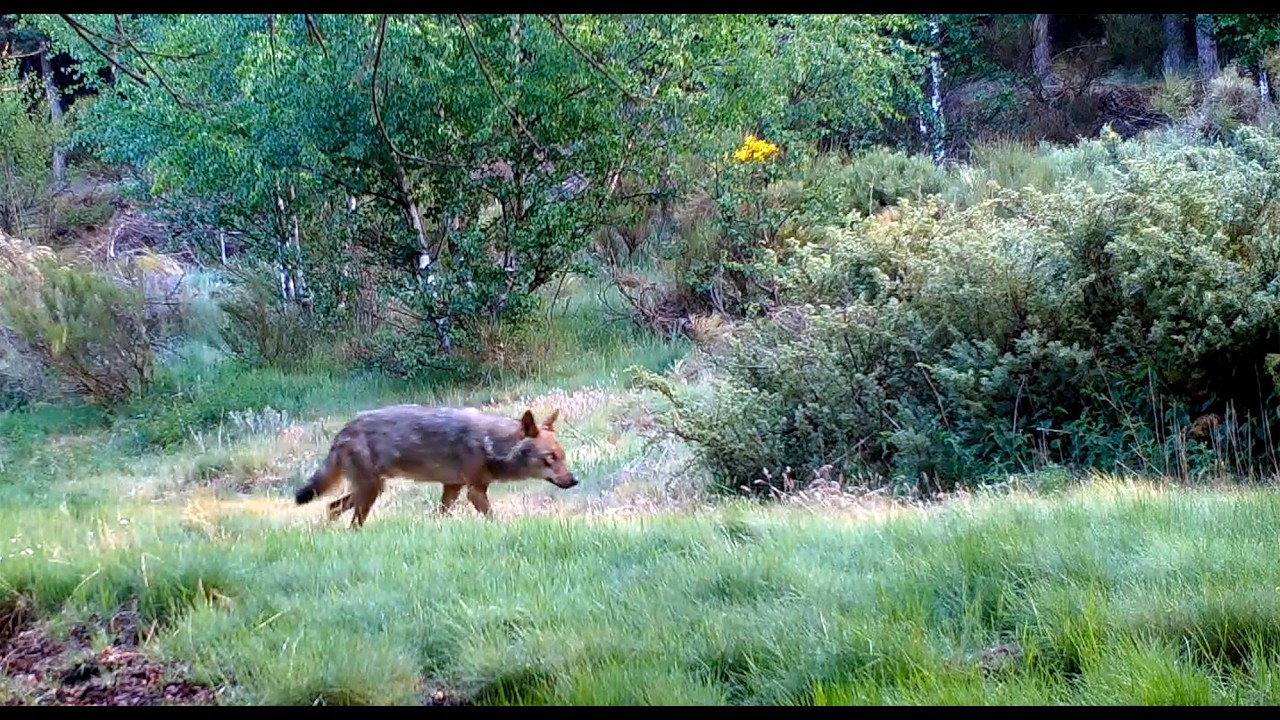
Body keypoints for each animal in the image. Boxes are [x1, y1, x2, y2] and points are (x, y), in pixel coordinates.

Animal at [293, 404, 577, 528]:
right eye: (550, 457)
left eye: (562, 457)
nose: (574, 481)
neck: (490, 443)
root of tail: (342, 431)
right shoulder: (474, 491)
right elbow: (494, 519)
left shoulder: (452, 487)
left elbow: (440, 514)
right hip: (370, 491)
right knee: (350, 520)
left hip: (371, 490)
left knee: (332, 507)